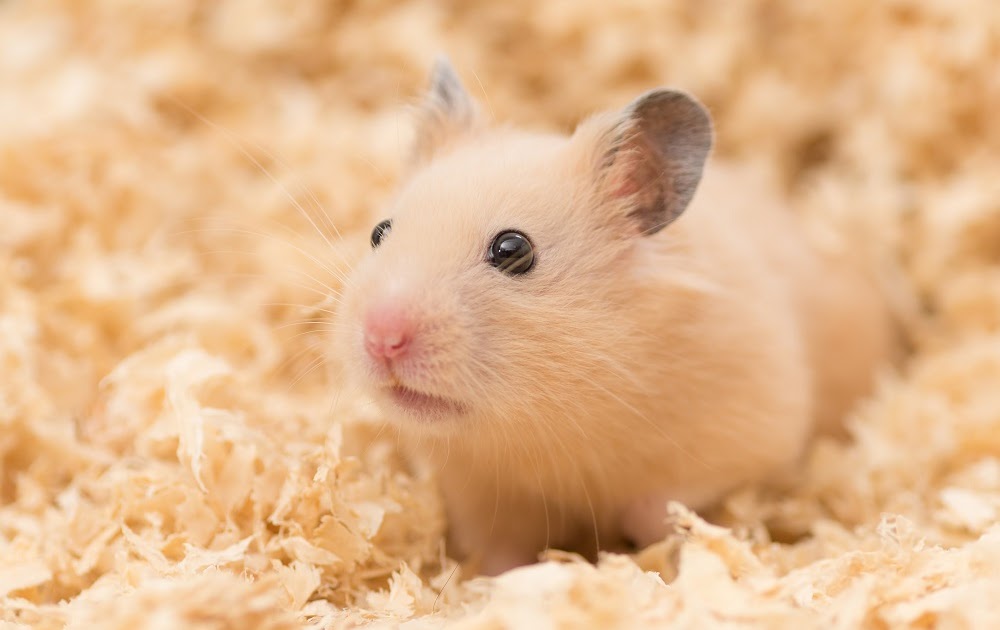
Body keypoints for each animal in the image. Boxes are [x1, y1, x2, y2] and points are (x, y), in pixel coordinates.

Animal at [334, 59, 898, 576]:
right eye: (379, 232)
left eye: (513, 250)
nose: (381, 339)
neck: (553, 418)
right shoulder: (481, 493)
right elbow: (502, 551)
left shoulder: (753, 428)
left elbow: (666, 502)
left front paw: (650, 551)